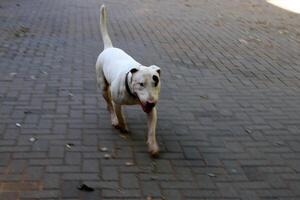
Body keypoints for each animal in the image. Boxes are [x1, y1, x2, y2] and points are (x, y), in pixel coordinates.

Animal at [96, 4, 162, 155]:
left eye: (156, 82)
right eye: (141, 84)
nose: (151, 102)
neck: (133, 95)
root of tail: (109, 48)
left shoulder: (151, 110)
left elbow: (152, 128)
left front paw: (153, 145)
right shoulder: (118, 102)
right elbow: (119, 113)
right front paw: (122, 126)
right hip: (102, 85)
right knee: (109, 103)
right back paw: (114, 119)